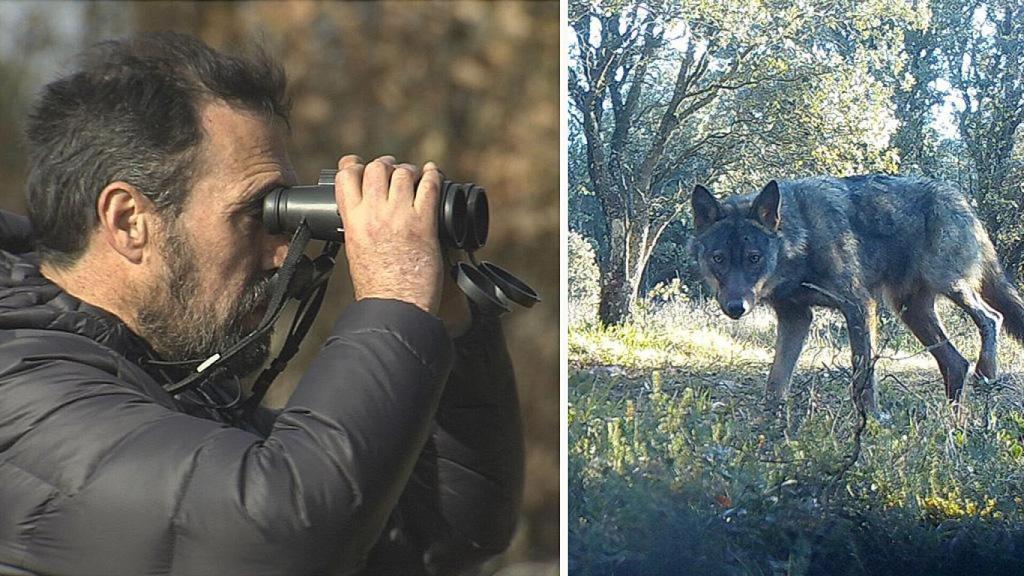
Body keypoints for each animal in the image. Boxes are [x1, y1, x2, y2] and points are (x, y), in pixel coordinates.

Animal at [689, 174, 1024, 412]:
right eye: (719, 258)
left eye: (754, 258)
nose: (736, 307)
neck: (803, 242)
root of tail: (959, 197)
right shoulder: (796, 317)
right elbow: (775, 382)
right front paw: (768, 424)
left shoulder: (859, 305)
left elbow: (863, 377)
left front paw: (871, 423)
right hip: (913, 313)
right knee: (956, 363)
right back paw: (953, 424)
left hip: (948, 285)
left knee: (992, 318)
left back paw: (986, 372)